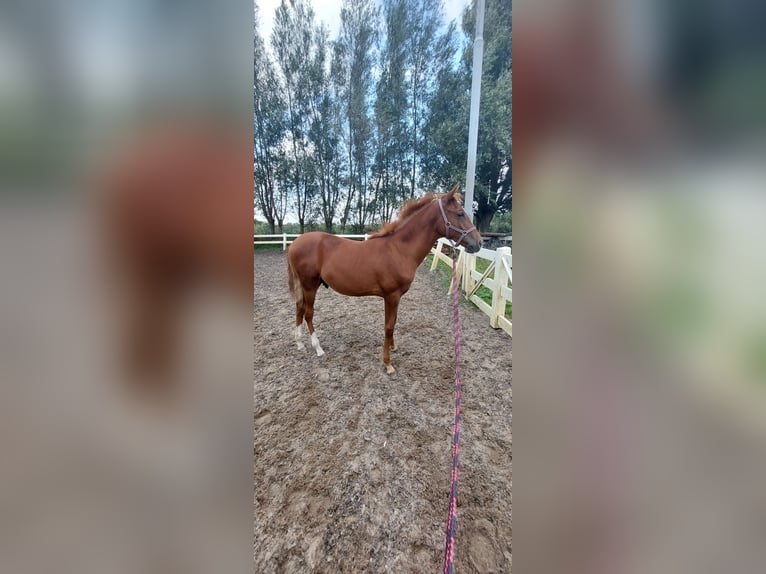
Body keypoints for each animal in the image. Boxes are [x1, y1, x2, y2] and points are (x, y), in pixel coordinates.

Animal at [286, 182, 480, 376]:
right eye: (460, 213)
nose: (478, 243)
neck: (399, 249)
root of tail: (294, 243)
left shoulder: (396, 297)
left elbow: (393, 322)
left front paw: (393, 347)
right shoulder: (391, 295)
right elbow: (388, 326)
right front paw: (388, 363)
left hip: (304, 286)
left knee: (299, 308)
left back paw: (299, 343)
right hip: (310, 285)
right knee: (308, 313)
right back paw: (318, 348)